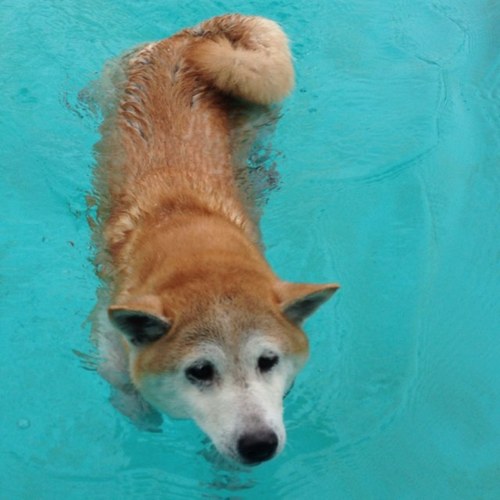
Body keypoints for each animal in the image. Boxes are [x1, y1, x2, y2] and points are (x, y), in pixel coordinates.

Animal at [90, 13, 340, 464]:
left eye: (268, 361)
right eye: (200, 371)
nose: (259, 444)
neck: (189, 227)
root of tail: (192, 37)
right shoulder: (107, 312)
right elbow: (115, 371)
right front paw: (139, 411)